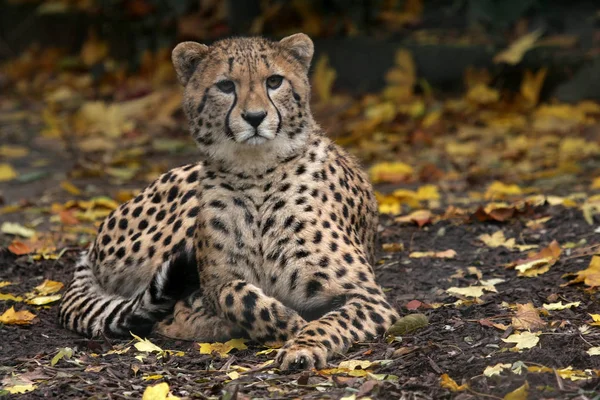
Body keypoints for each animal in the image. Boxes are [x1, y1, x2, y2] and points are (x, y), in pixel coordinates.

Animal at [58, 32, 400, 370]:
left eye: (274, 81)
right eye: (225, 86)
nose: (255, 117)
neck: (257, 172)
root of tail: (93, 245)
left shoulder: (368, 297)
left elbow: (330, 321)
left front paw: (301, 346)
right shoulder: (215, 281)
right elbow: (233, 294)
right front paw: (287, 322)